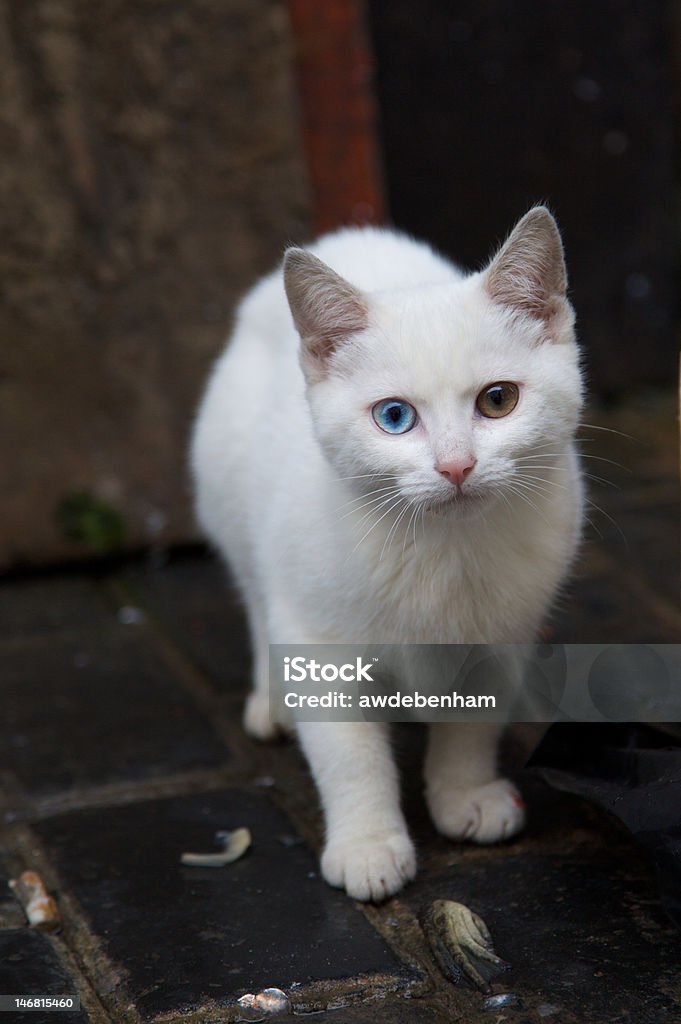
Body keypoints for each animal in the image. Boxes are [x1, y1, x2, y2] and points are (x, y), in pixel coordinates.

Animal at [191, 209, 585, 905]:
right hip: (230, 501)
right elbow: (350, 756)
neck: (443, 549)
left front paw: (463, 794)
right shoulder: (319, 640)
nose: (456, 466)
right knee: (256, 594)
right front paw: (368, 844)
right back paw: (273, 699)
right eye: (395, 417)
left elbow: (474, 722)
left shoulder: (505, 631)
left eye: (499, 400)